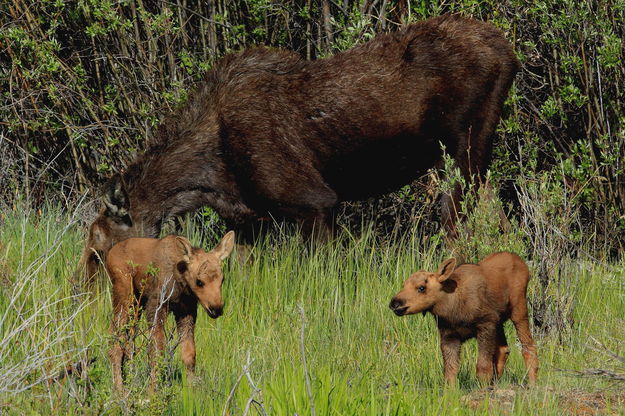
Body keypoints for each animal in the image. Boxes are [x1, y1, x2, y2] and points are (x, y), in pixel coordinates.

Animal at [78, 15, 520, 280]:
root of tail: (508, 49)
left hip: (463, 148)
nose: (85, 294)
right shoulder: (249, 219)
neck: (207, 178)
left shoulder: (315, 201)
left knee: (458, 219)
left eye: (98, 247)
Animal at [106, 231, 235, 390]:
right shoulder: (156, 306)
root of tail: (109, 254)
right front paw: (152, 390)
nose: (216, 308)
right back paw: (119, 389)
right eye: (199, 281)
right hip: (124, 294)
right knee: (114, 341)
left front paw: (191, 388)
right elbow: (157, 352)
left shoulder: (186, 311)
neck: (181, 285)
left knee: (128, 343)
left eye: (222, 279)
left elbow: (189, 353)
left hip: (137, 304)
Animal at [390, 252, 536, 386]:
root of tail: (522, 263)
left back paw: (533, 383)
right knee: (503, 349)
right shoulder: (449, 335)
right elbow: (450, 370)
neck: (452, 309)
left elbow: (482, 366)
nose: (394, 303)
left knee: (528, 345)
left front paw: (482, 388)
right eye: (404, 284)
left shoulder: (486, 324)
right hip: (498, 322)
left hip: (518, 309)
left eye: (421, 287)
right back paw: (495, 382)